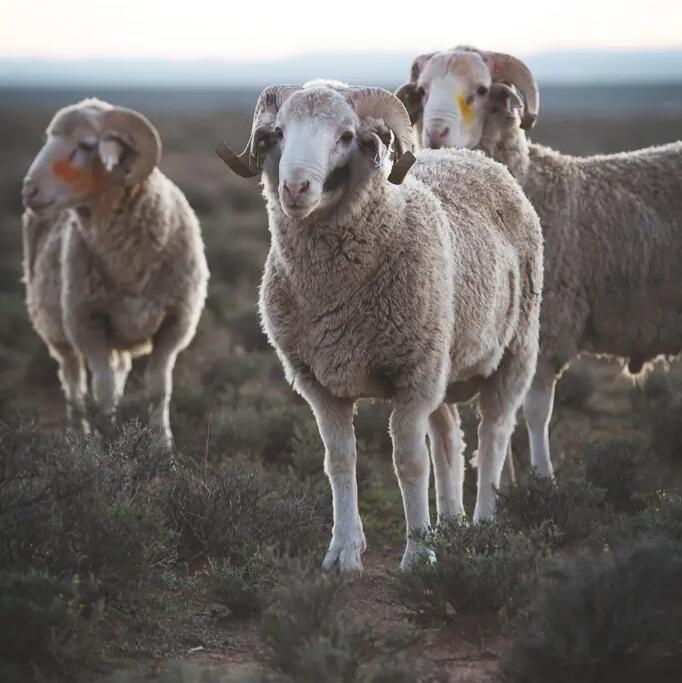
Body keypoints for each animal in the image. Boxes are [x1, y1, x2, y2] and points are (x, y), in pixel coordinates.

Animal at [21, 99, 207, 446]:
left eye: (84, 145)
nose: (29, 190)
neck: (129, 265)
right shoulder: (88, 325)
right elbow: (102, 390)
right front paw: (107, 442)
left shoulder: (173, 325)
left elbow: (158, 388)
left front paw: (162, 446)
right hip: (57, 332)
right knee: (73, 382)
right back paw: (78, 434)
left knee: (118, 371)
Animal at [216, 81, 540, 576]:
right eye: (279, 132)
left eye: (347, 136)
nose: (294, 187)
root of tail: (474, 157)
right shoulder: (319, 382)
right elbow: (339, 460)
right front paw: (344, 551)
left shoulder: (413, 377)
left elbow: (409, 462)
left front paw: (418, 555)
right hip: (443, 364)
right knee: (449, 439)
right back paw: (451, 523)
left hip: (515, 349)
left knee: (494, 436)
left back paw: (483, 523)